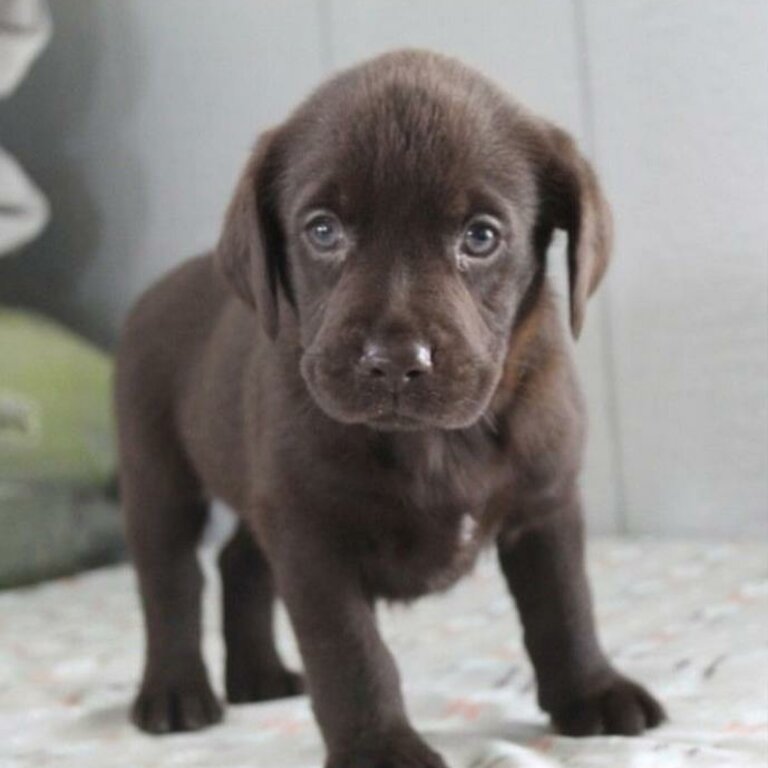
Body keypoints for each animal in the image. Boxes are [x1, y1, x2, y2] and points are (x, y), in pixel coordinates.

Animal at [117, 51, 664, 764]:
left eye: (480, 236)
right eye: (323, 230)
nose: (397, 361)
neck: (435, 440)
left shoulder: (545, 504)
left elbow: (565, 607)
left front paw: (593, 692)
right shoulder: (311, 535)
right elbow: (352, 654)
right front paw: (380, 746)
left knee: (240, 560)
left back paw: (259, 677)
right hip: (157, 473)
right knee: (171, 580)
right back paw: (176, 691)